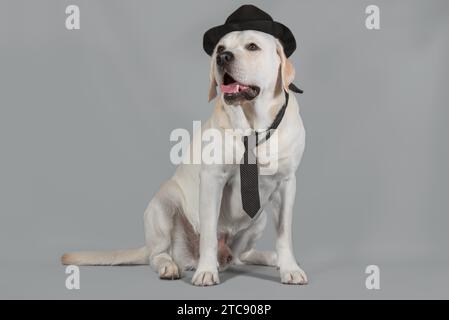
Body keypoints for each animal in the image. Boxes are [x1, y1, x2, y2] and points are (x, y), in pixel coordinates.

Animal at [61, 29, 308, 284]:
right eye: (220, 48)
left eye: (252, 46)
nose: (223, 58)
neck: (253, 127)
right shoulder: (212, 179)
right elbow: (208, 233)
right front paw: (206, 271)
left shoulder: (287, 184)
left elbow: (284, 234)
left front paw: (289, 267)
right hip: (164, 202)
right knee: (158, 254)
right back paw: (170, 266)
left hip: (259, 219)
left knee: (242, 256)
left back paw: (271, 258)